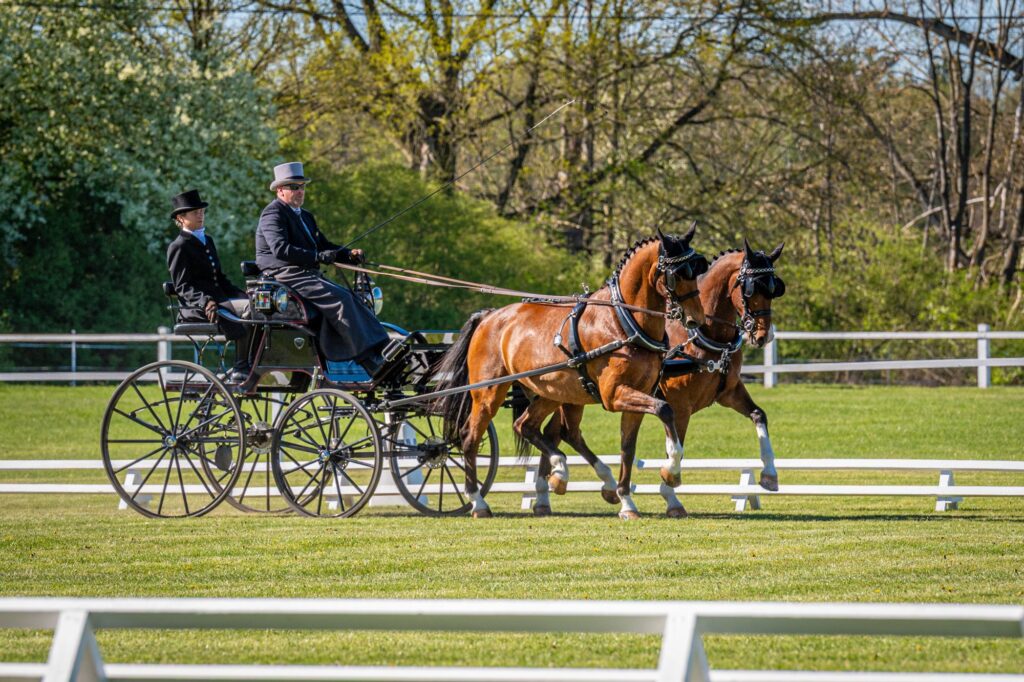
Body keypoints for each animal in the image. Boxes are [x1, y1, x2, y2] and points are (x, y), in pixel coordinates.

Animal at [433, 227, 709, 520]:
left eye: (696, 270)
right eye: (677, 274)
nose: (697, 319)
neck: (624, 322)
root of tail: (489, 317)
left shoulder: (638, 394)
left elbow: (628, 448)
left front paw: (627, 501)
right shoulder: (614, 395)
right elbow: (665, 409)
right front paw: (671, 471)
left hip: (552, 393)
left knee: (528, 426)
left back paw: (567, 473)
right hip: (488, 393)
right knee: (470, 437)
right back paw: (479, 501)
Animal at [538, 240, 786, 517]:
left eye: (775, 288)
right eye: (750, 288)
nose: (764, 336)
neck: (702, 335)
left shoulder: (729, 392)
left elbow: (759, 415)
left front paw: (769, 475)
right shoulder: (680, 406)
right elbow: (676, 445)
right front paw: (671, 490)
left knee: (553, 433)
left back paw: (548, 493)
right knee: (554, 433)